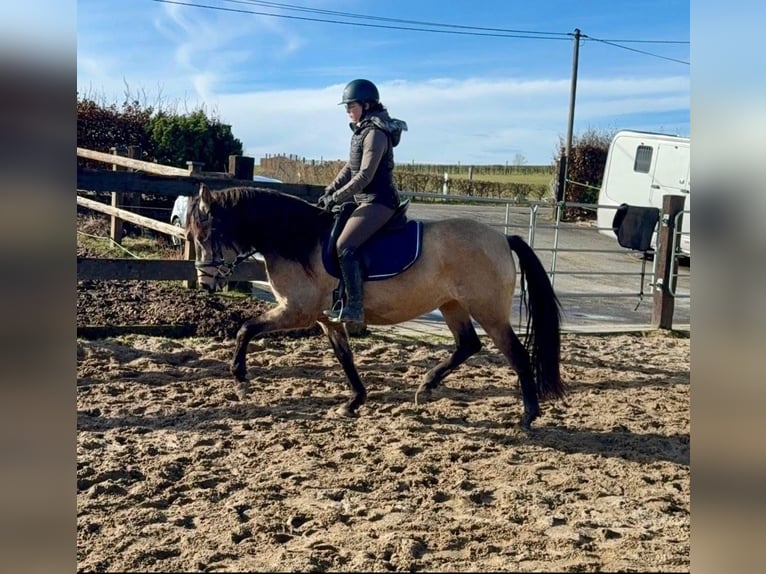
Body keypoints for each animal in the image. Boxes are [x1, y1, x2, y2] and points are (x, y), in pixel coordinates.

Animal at [186, 183, 564, 430]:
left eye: (205, 235)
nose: (205, 283)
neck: (297, 238)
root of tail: (502, 237)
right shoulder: (327, 319)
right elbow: (345, 358)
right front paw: (354, 401)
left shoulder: (297, 311)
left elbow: (245, 329)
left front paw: (241, 380)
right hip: (452, 305)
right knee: (468, 345)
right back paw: (426, 387)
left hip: (487, 311)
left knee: (515, 353)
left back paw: (528, 415)